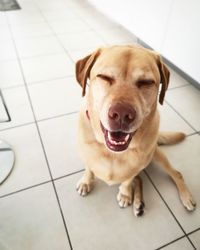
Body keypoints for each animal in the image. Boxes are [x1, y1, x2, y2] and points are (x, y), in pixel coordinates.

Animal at [75, 45, 195, 217]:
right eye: (104, 77)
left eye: (146, 82)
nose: (122, 114)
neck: (113, 153)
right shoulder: (86, 155)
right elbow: (89, 169)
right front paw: (86, 182)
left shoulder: (135, 168)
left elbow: (128, 180)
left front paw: (125, 194)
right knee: (140, 179)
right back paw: (138, 203)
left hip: (156, 155)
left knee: (176, 173)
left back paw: (185, 197)